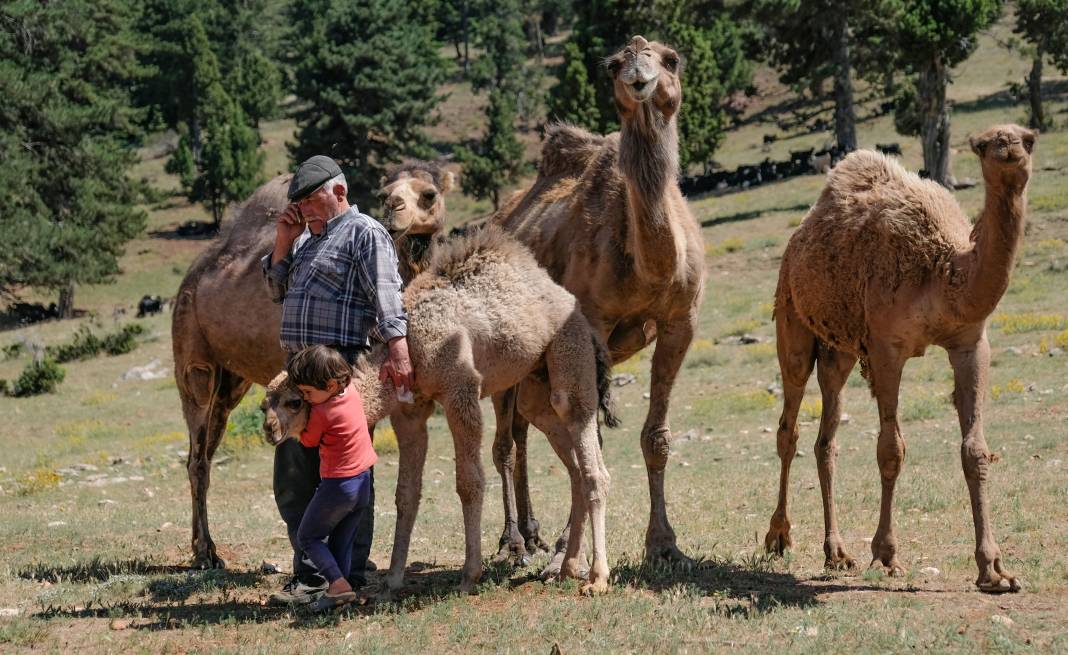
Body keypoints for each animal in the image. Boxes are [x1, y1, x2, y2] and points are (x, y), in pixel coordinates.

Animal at [260, 227, 619, 594]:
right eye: (265, 403)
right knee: (572, 465)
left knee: (591, 464)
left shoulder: (460, 388)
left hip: (568, 350)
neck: (409, 344)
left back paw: (597, 578)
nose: (270, 429)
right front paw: (393, 579)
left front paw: (470, 575)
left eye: (295, 400)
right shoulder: (410, 410)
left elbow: (469, 482)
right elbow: (406, 494)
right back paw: (567, 568)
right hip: (535, 382)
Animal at [491, 34, 709, 568]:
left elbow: (655, 438)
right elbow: (589, 434)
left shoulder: (681, 321)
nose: (637, 72)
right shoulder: (589, 323)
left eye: (671, 58)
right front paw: (566, 556)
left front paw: (664, 544)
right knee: (504, 441)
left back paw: (532, 535)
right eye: (613, 65)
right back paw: (514, 543)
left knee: (521, 432)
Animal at [764, 122, 1038, 594]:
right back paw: (779, 537)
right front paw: (887, 555)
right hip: (793, 323)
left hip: (838, 351)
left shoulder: (970, 342)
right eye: (986, 144)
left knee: (825, 441)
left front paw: (994, 570)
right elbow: (891, 449)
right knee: (789, 429)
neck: (944, 272)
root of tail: (796, 240)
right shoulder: (886, 347)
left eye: (1028, 137)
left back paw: (836, 553)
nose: (1010, 152)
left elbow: (975, 451)